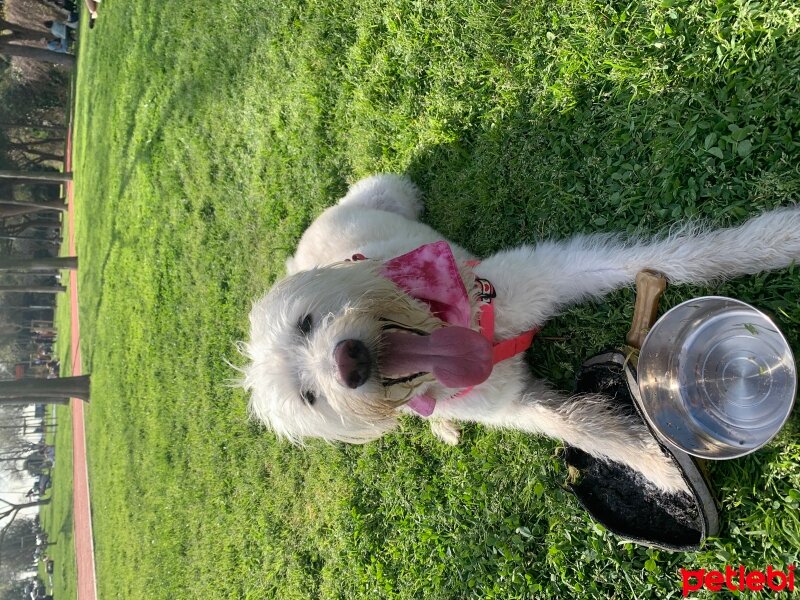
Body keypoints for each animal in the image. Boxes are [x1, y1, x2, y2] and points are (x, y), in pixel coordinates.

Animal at [242, 176, 800, 494]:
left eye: (305, 322)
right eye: (309, 397)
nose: (349, 363)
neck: (459, 329)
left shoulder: (551, 274)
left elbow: (679, 257)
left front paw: (777, 240)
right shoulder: (514, 404)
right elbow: (586, 429)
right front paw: (660, 471)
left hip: (390, 191)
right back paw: (442, 427)